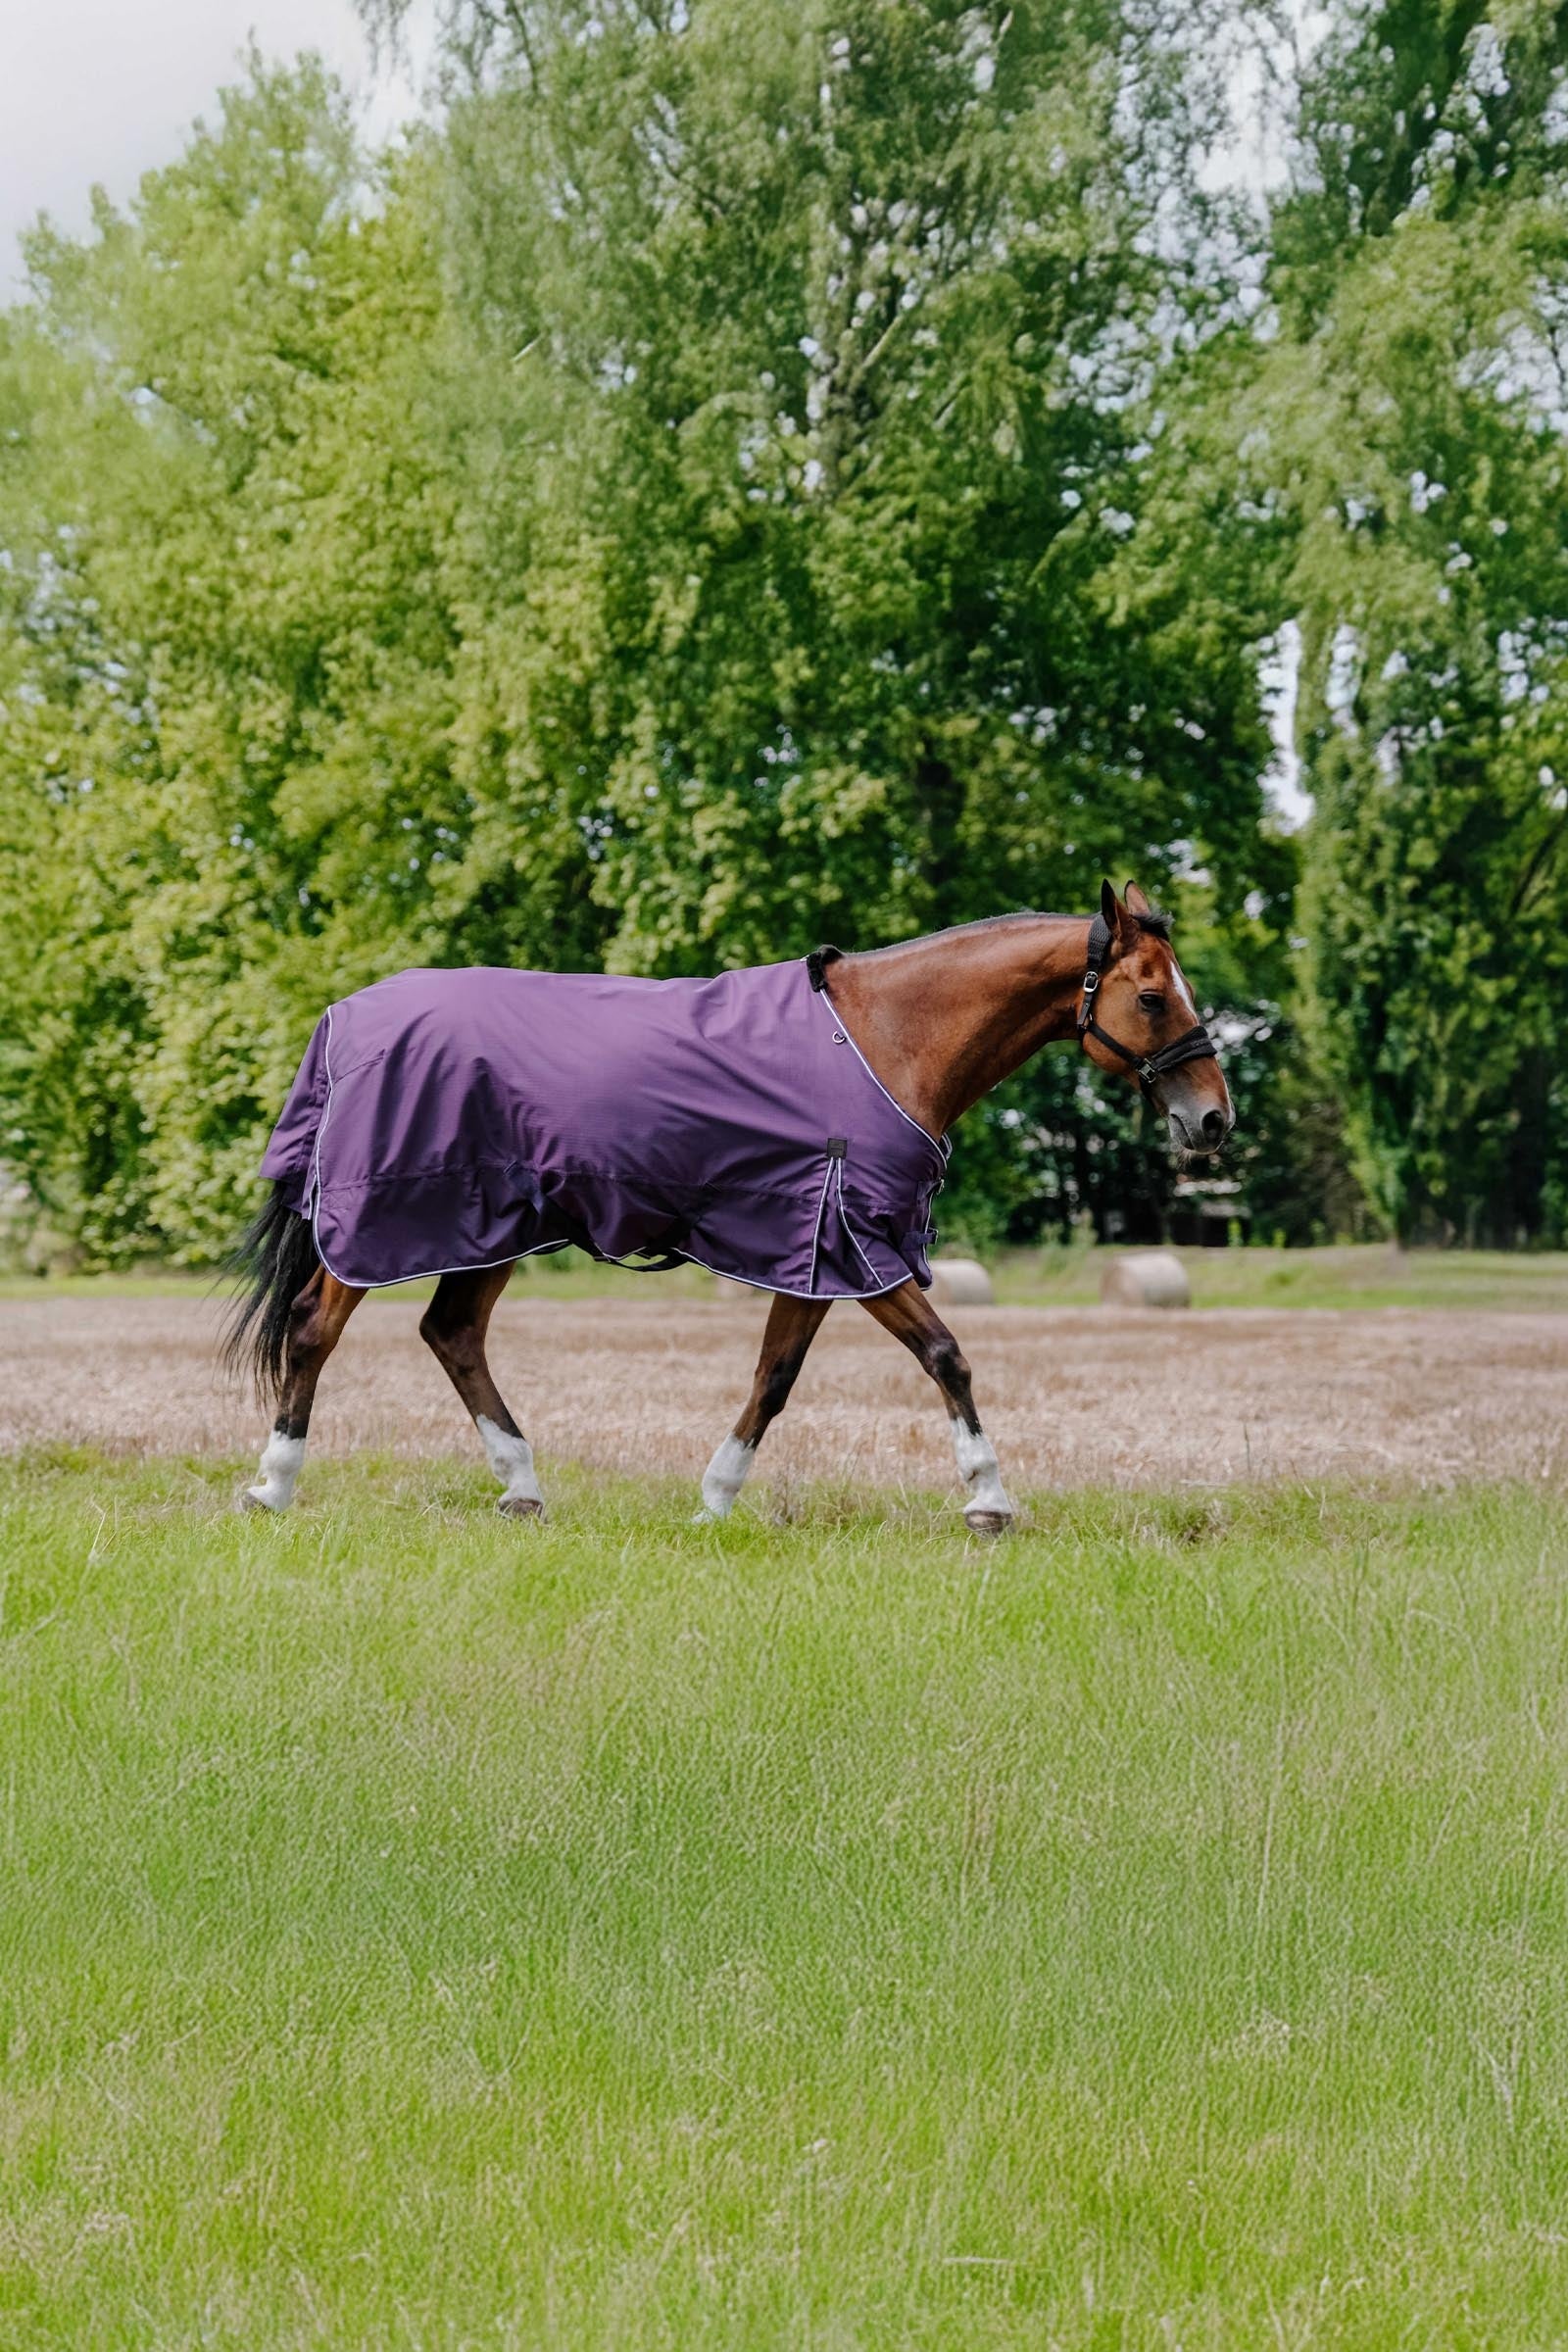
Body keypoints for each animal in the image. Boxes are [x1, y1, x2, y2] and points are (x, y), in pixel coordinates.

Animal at [224, 880, 1233, 1534]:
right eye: (1152, 995)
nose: (1213, 1119)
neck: (886, 1037)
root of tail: (345, 1019)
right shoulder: (858, 1245)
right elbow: (946, 1356)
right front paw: (987, 1498)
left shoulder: (813, 1250)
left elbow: (774, 1377)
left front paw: (715, 1498)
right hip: (382, 1225)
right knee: (315, 1328)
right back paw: (274, 1485)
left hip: (493, 1229)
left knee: (452, 1334)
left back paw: (521, 1487)